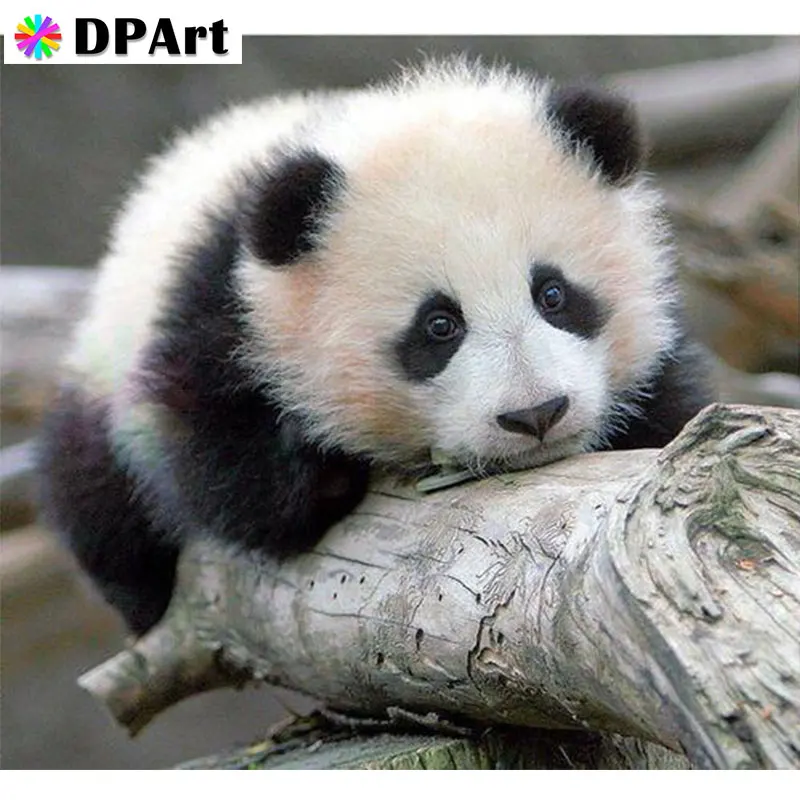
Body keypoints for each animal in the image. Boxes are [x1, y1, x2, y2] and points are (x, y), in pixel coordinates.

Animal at [37, 59, 712, 636]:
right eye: (438, 326)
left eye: (552, 294)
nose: (535, 415)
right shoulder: (221, 301)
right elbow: (213, 456)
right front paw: (321, 465)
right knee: (92, 489)